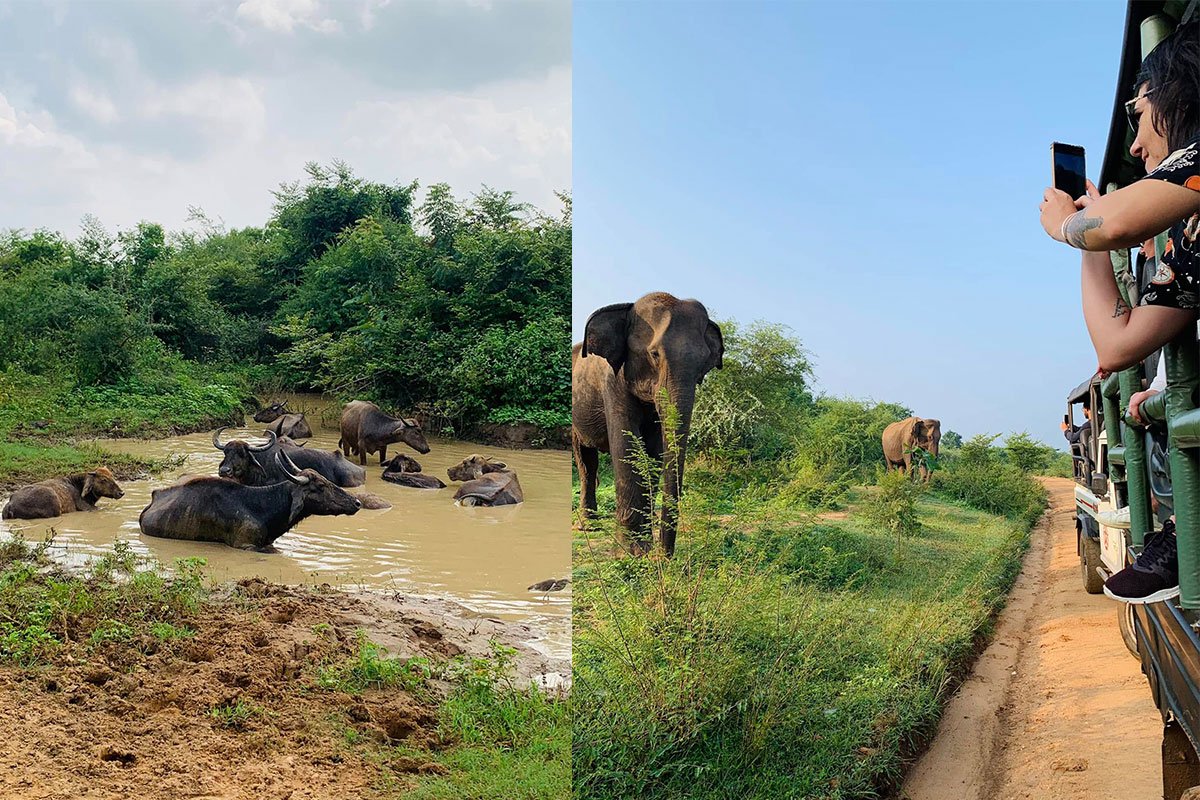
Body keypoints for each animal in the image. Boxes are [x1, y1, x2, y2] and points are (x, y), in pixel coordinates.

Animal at [572, 292, 723, 557]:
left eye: (704, 362)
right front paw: (631, 553)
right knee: (586, 462)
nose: (664, 558)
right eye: (654, 354)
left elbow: (653, 450)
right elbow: (628, 445)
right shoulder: (612, 381)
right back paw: (588, 527)